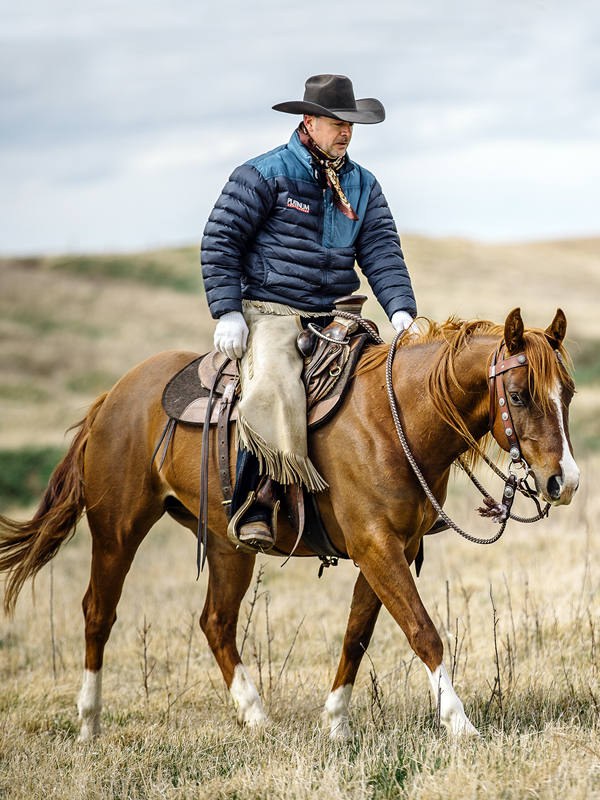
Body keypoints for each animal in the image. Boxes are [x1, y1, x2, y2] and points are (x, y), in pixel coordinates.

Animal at [0, 308, 579, 741]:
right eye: (519, 395)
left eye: (567, 394)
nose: (564, 482)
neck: (393, 422)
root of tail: (114, 396)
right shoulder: (376, 547)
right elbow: (423, 632)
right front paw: (459, 725)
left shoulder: (385, 550)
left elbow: (356, 636)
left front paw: (336, 723)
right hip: (117, 530)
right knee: (98, 613)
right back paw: (89, 724)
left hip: (229, 545)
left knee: (216, 622)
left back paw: (255, 716)